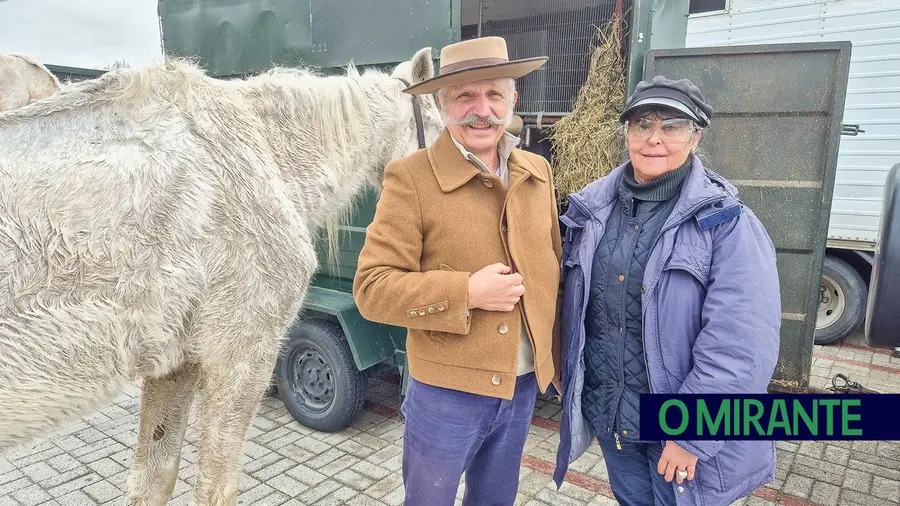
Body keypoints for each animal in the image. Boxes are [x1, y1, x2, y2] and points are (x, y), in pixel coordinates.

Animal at [0, 45, 442, 504]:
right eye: (438, 125)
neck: (263, 150)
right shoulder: (240, 354)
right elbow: (215, 485)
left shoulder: (175, 363)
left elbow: (152, 477)